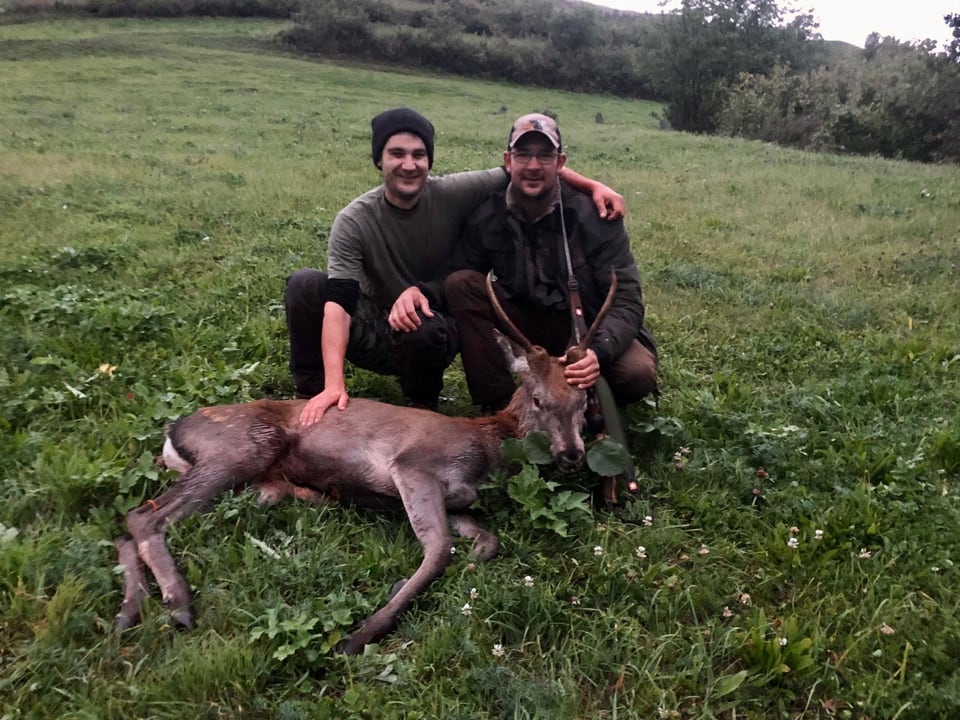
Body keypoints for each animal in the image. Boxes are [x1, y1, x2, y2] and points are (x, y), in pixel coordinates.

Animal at [114, 274, 616, 652]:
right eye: (539, 398)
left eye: (583, 402)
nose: (572, 455)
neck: (488, 447)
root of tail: (173, 432)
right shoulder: (413, 465)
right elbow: (438, 550)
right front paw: (361, 635)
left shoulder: (457, 499)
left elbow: (485, 542)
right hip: (240, 447)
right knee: (143, 516)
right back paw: (179, 605)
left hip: (256, 484)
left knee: (131, 528)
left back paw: (130, 611)